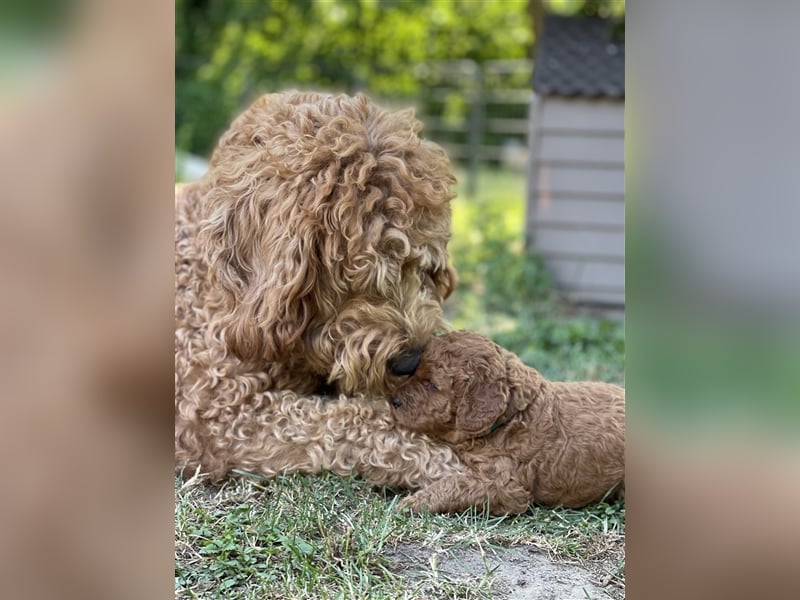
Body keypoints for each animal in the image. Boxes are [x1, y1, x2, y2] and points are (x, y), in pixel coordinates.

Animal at [173, 92, 468, 488]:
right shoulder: (217, 414)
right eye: (354, 272)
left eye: (422, 265)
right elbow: (347, 422)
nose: (411, 361)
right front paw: (446, 454)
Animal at [390, 330, 624, 512]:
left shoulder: (505, 486)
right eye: (415, 372)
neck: (511, 416)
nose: (393, 400)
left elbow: (456, 484)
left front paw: (411, 503)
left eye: (431, 384)